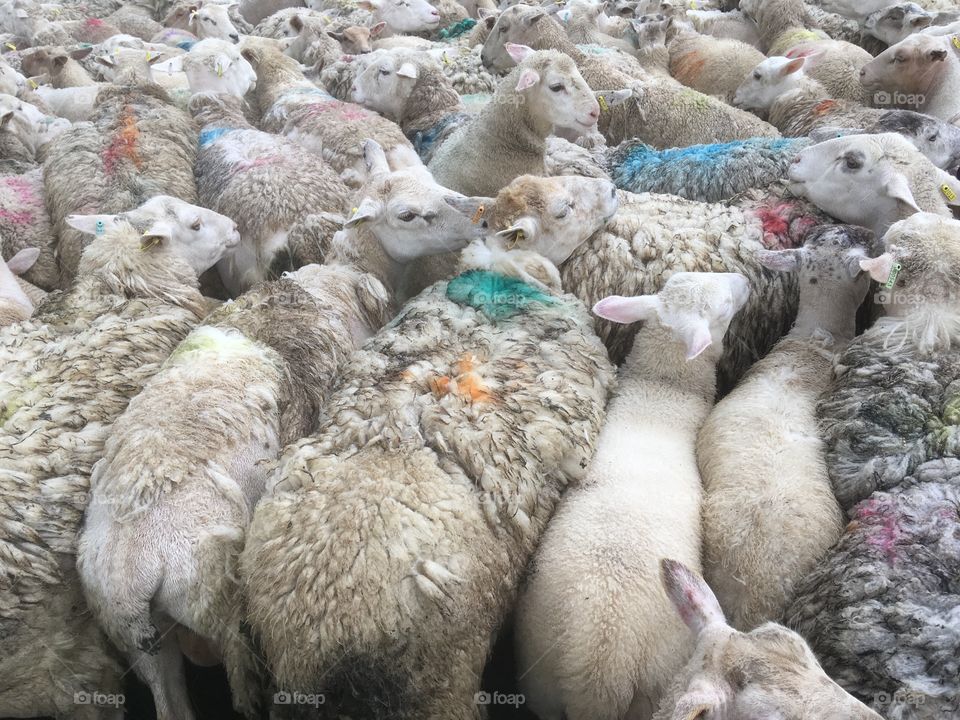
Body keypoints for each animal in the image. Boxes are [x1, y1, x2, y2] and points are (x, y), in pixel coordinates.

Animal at [77, 262, 391, 720]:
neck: (323, 297)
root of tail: (130, 572)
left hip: (138, 641)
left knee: (170, 700)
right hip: (212, 600)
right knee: (239, 674)